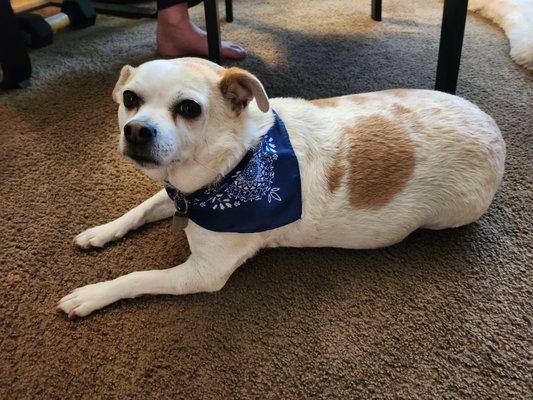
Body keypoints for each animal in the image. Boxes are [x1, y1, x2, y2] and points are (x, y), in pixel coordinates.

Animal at [56, 57, 504, 318]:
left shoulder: (203, 273)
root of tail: (492, 127)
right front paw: (101, 232)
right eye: (130, 99)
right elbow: (140, 209)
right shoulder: (176, 197)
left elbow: (138, 277)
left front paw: (92, 294)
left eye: (188, 108)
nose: (136, 130)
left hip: (452, 214)